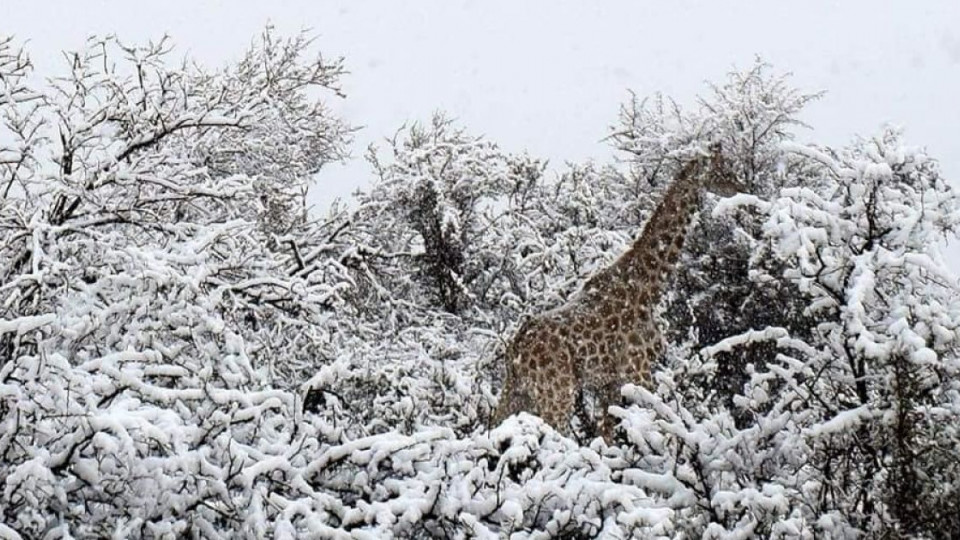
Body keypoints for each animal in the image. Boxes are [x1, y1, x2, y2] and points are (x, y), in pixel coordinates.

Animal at [492, 146, 740, 440]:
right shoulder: (638, 368)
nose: (740, 187)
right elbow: (659, 423)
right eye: (722, 170)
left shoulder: (607, 383)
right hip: (556, 392)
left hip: (519, 393)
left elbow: (607, 436)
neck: (648, 288)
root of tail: (515, 349)